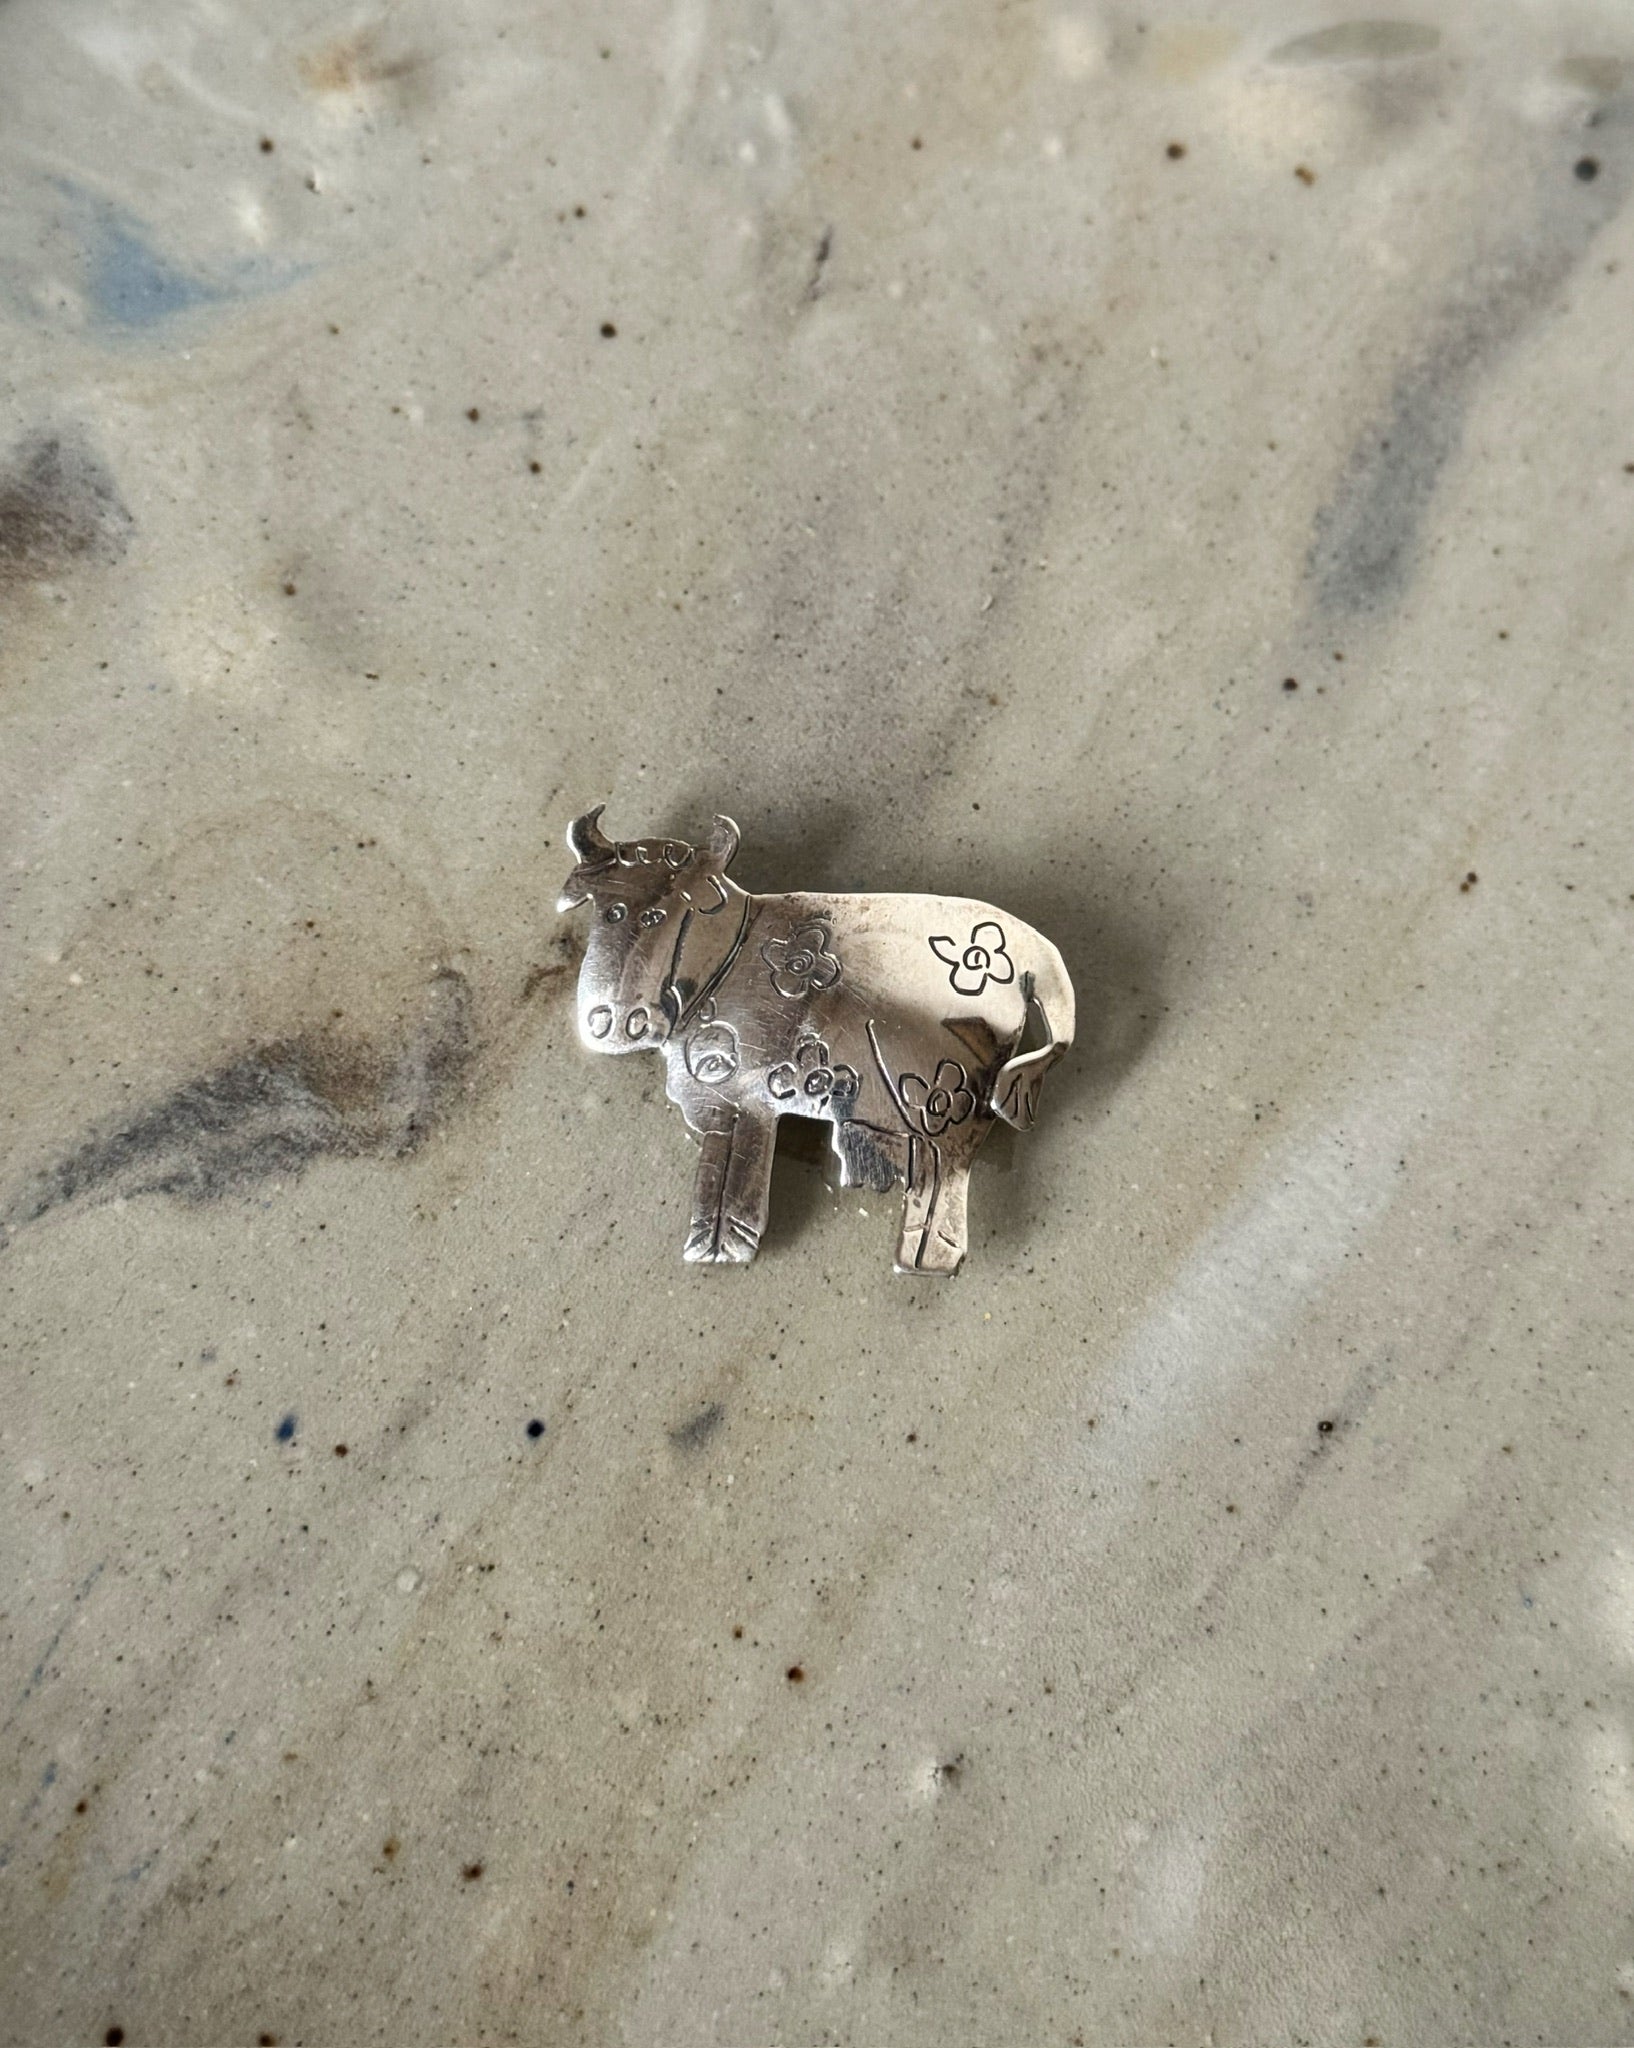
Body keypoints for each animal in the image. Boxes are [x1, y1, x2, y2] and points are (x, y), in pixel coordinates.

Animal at [556, 807, 1074, 1274]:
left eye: (672, 911)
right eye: (608, 910)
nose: (617, 1022)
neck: (734, 952)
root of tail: (1037, 961)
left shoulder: (751, 1104)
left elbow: (736, 1181)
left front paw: (728, 1246)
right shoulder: (719, 1104)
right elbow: (719, 1177)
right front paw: (709, 1245)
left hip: (942, 1106)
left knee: (945, 1178)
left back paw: (923, 1259)